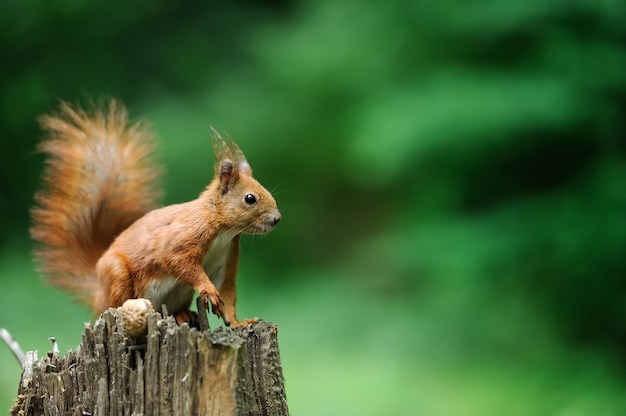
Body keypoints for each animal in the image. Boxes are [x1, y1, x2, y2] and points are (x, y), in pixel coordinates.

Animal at [31, 99, 280, 326]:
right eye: (250, 198)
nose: (277, 219)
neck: (222, 230)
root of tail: (98, 295)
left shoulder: (226, 257)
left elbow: (227, 292)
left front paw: (239, 323)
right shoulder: (183, 238)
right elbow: (179, 261)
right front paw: (208, 290)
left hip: (177, 293)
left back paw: (182, 314)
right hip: (117, 276)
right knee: (115, 303)